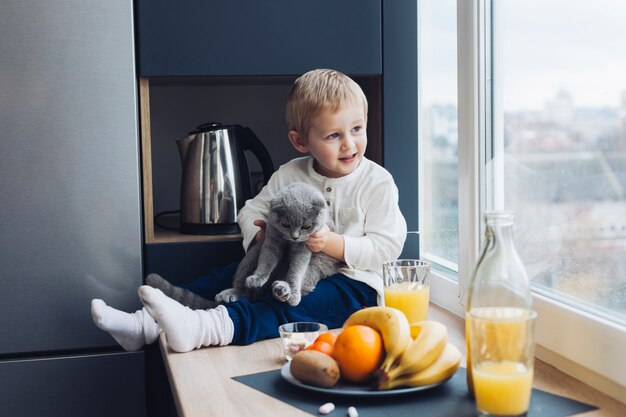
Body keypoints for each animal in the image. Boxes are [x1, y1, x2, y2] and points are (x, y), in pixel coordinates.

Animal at [147, 180, 342, 308]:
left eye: (307, 226)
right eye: (286, 224)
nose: (295, 237)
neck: (288, 241)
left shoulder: (304, 248)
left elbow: (297, 269)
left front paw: (293, 294)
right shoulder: (271, 238)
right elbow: (267, 260)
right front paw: (258, 277)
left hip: (318, 265)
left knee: (306, 279)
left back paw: (283, 290)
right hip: (251, 256)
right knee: (242, 289)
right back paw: (231, 293)